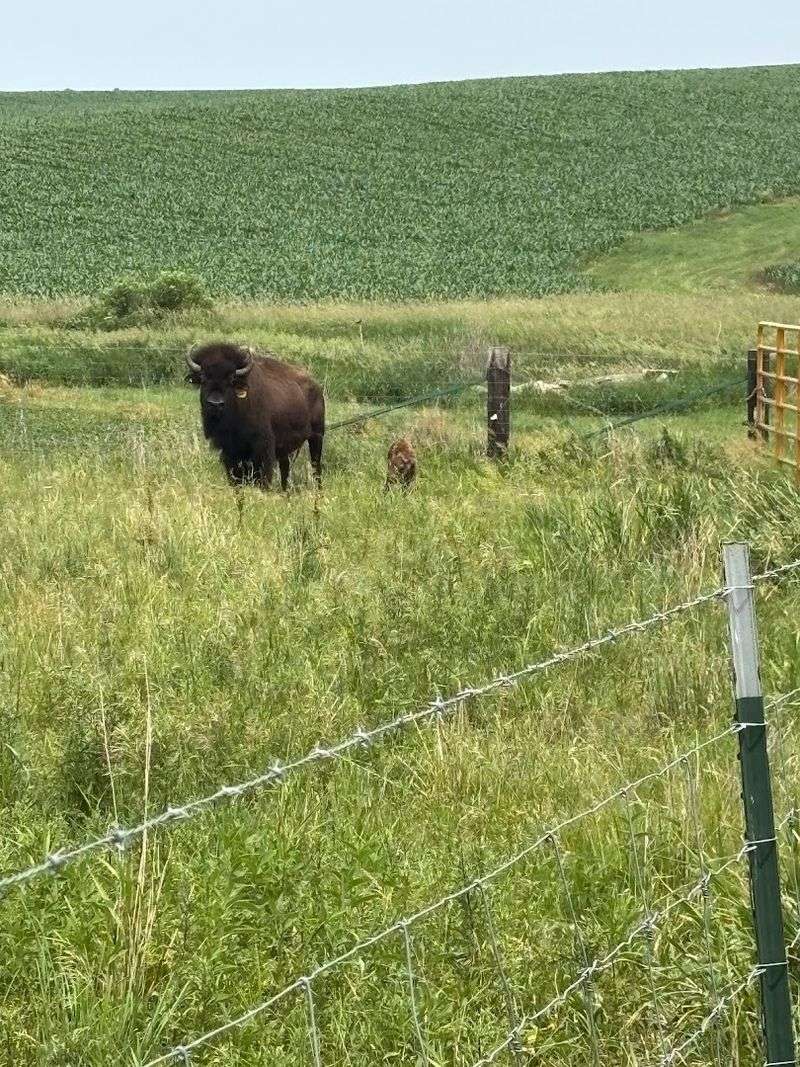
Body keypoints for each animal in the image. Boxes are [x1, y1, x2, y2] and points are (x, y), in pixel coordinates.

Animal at [186, 342, 324, 490]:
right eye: (203, 378)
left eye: (232, 379)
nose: (215, 404)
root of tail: (316, 386)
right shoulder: (230, 451)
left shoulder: (263, 448)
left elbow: (262, 476)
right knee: (285, 470)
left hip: (317, 436)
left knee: (316, 466)